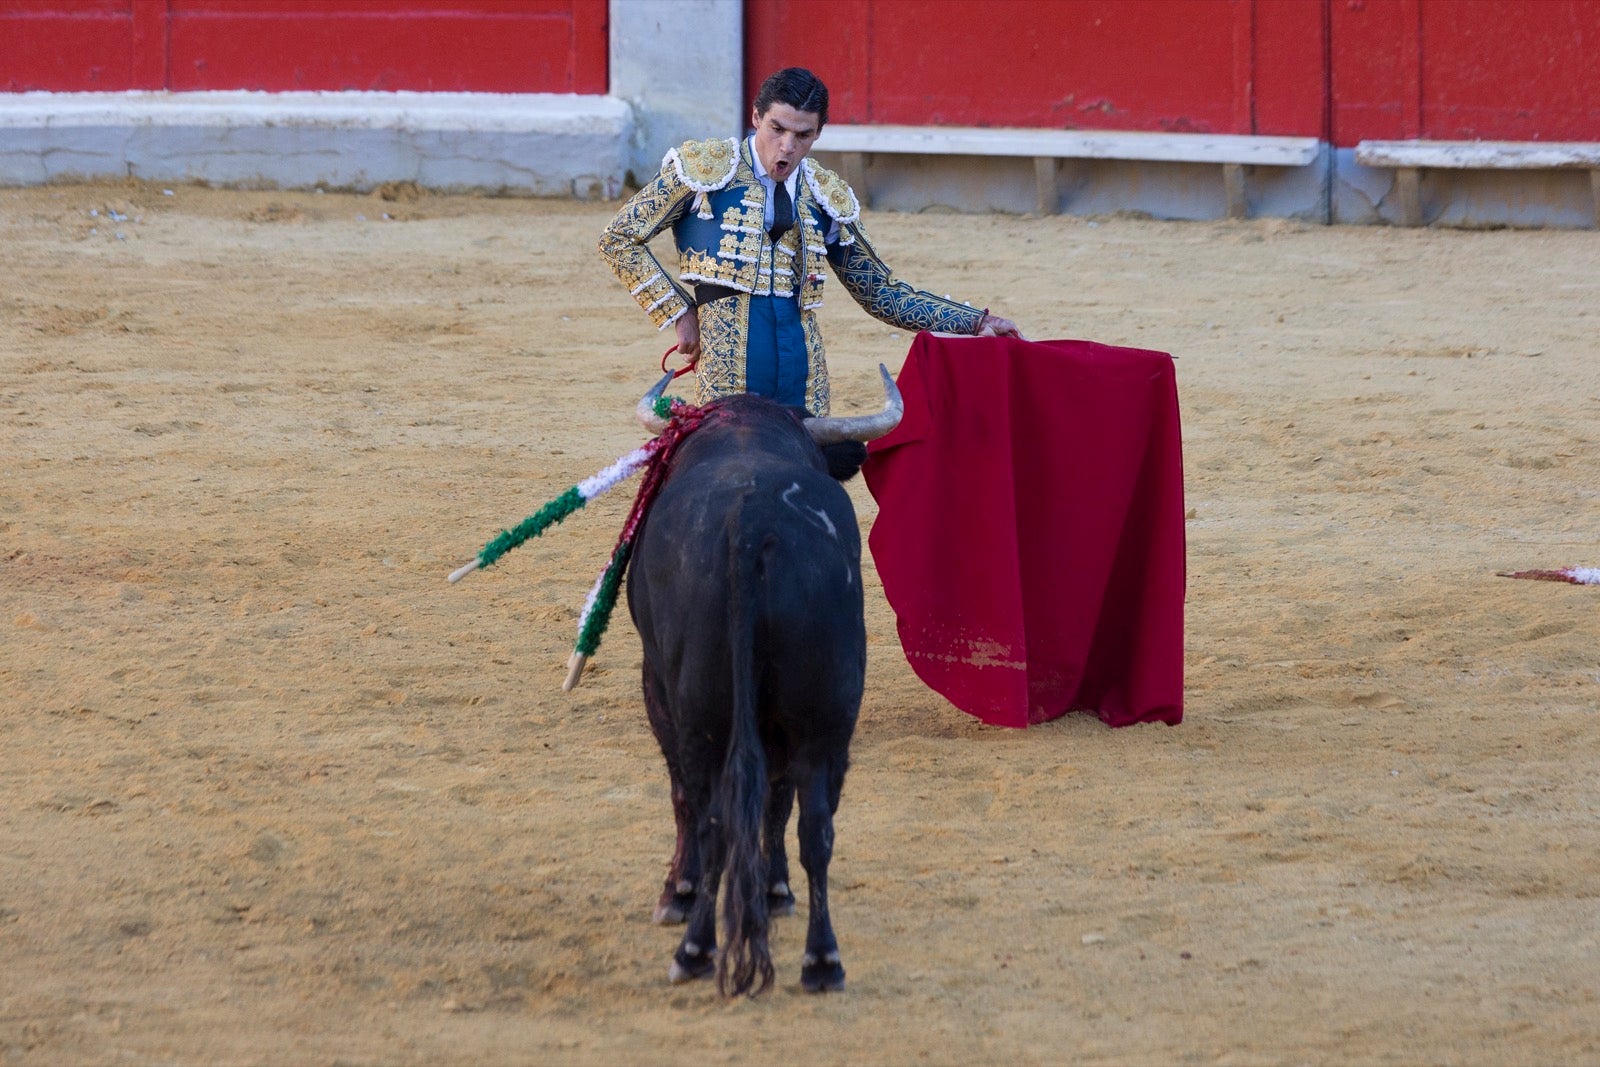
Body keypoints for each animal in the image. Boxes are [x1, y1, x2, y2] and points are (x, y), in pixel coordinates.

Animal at [624, 371, 902, 998]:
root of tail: (751, 528)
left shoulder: (658, 690)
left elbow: (685, 799)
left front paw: (677, 893)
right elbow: (777, 805)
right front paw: (775, 891)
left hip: (703, 716)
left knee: (716, 819)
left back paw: (696, 949)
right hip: (827, 716)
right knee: (815, 826)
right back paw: (822, 961)